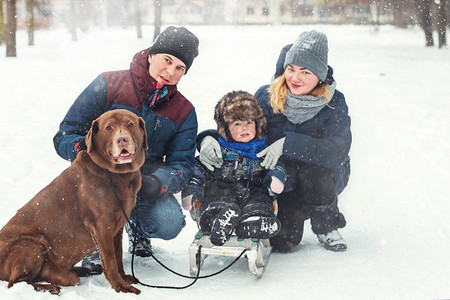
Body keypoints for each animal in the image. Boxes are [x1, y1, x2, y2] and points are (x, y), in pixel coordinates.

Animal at [0, 109, 148, 294]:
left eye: (130, 124)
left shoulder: (118, 226)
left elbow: (118, 255)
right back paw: (49, 287)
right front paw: (121, 287)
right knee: (15, 282)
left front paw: (124, 278)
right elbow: (110, 260)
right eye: (108, 128)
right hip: (32, 244)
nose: (122, 140)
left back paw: (78, 271)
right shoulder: (101, 226)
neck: (117, 175)